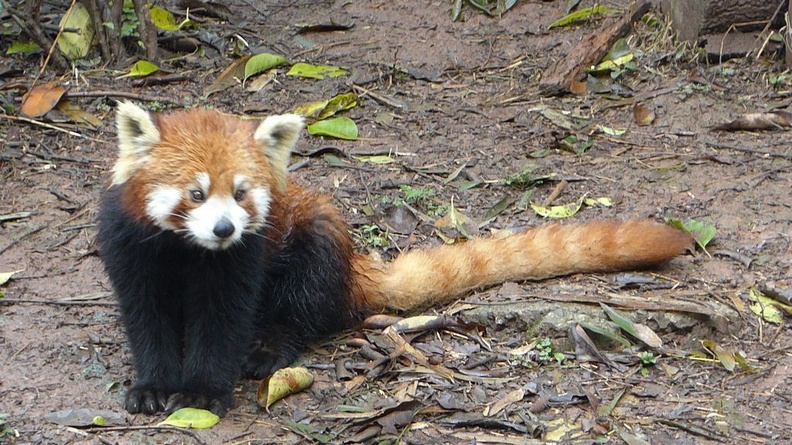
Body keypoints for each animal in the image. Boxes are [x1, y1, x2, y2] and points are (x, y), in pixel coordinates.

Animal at [96, 102, 688, 414]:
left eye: (241, 194)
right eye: (195, 194)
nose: (224, 228)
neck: (191, 251)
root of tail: (356, 262)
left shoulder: (246, 254)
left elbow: (223, 320)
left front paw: (201, 393)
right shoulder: (132, 248)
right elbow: (145, 317)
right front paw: (153, 387)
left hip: (315, 236)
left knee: (305, 302)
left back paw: (269, 347)